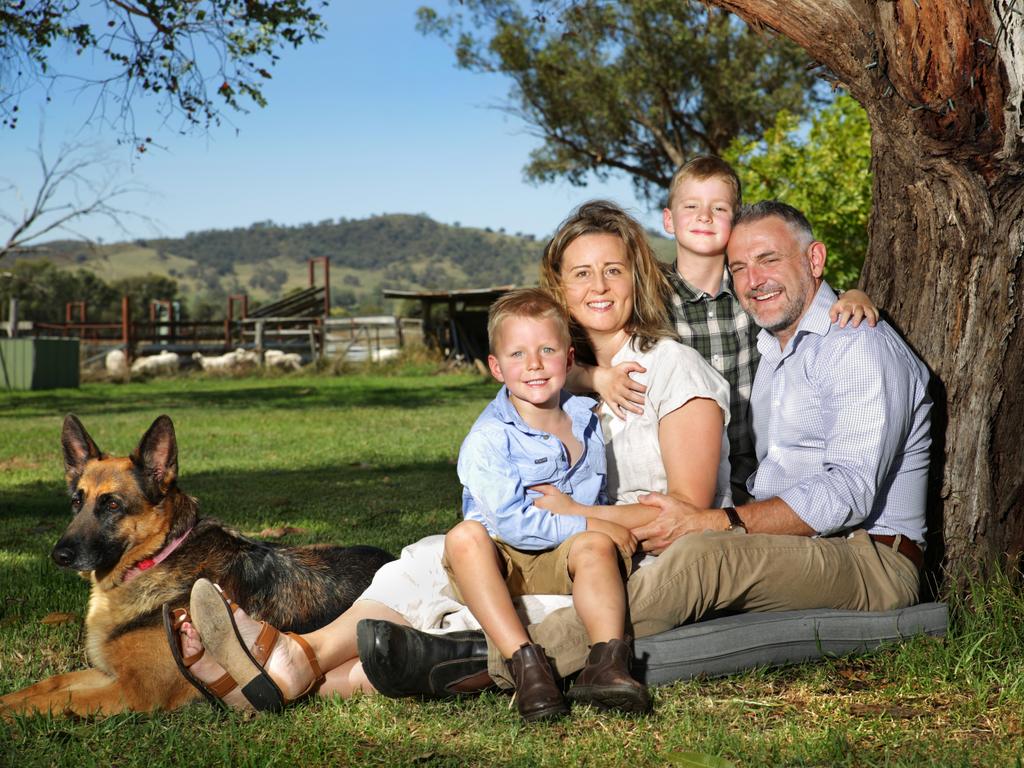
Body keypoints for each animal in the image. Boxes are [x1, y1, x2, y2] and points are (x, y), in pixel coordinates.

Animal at [0, 417, 393, 720]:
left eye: (112, 505)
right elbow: (49, 684)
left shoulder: (135, 691)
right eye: (76, 502)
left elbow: (54, 699)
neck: (157, 557)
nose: (59, 556)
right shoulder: (108, 673)